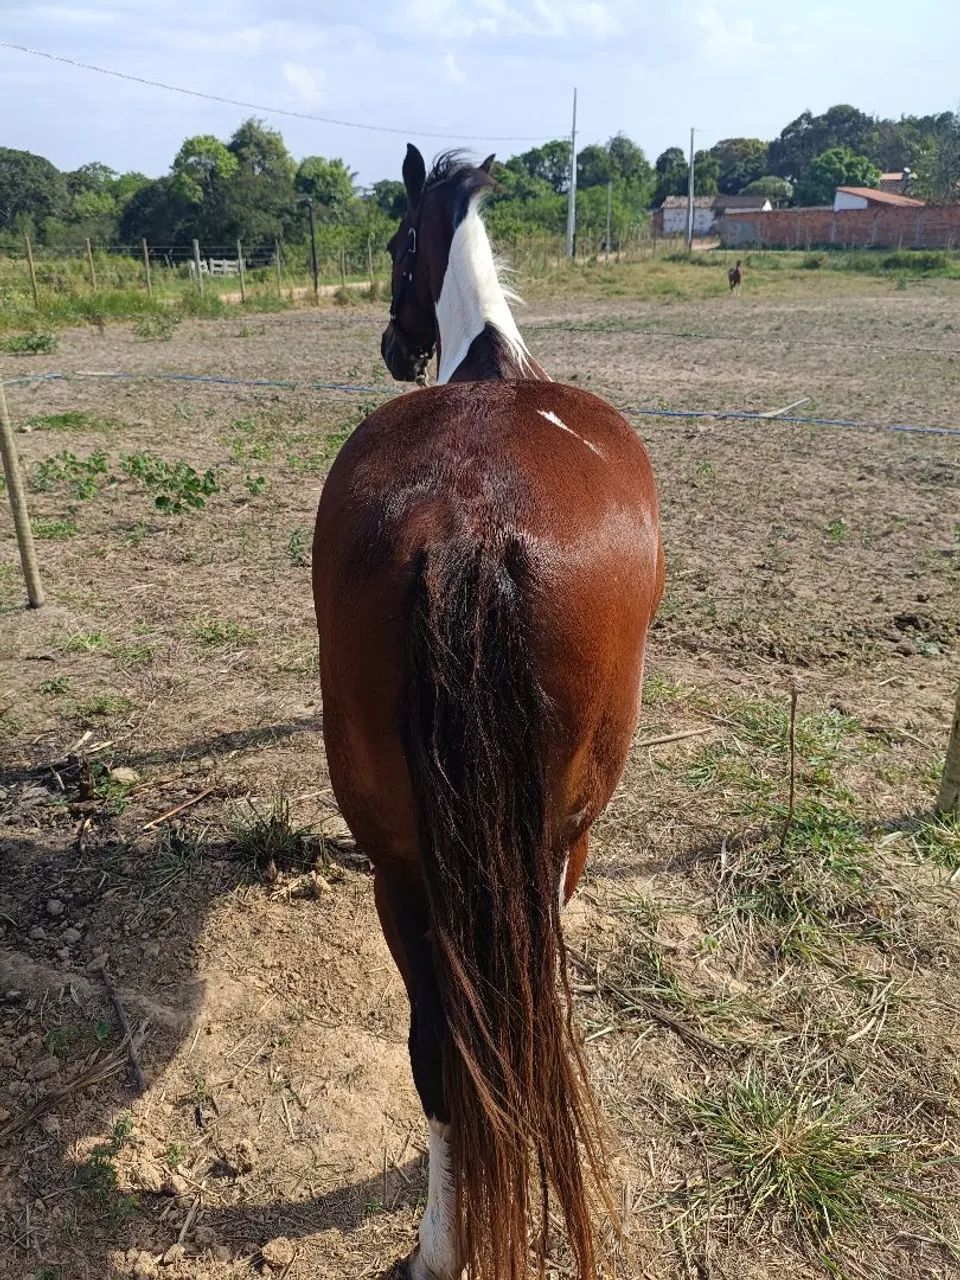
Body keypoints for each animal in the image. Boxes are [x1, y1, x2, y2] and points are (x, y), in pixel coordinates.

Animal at [312, 145, 663, 1280]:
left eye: (392, 245)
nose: (392, 345)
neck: (488, 365)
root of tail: (470, 517)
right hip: (554, 837)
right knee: (495, 1030)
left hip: (400, 863)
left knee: (445, 1046)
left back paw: (441, 1239)